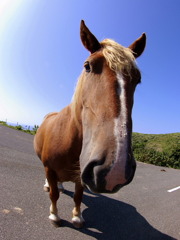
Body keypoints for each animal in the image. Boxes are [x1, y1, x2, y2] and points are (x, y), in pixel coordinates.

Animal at [33, 19, 146, 228]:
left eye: (138, 79)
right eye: (88, 66)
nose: (115, 170)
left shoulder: (81, 175)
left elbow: (78, 196)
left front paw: (77, 216)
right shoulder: (50, 169)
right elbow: (54, 195)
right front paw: (54, 215)